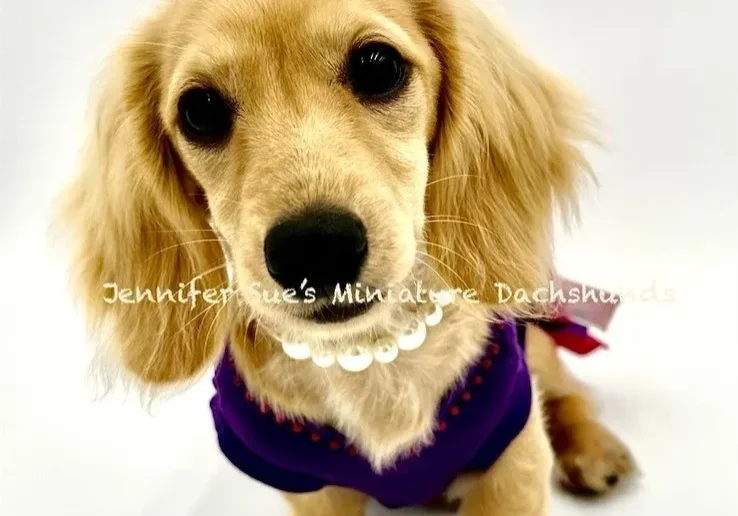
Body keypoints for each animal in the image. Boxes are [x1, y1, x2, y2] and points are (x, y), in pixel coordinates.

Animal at [57, 1, 632, 516]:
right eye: (199, 111)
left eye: (378, 66)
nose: (314, 249)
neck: (372, 356)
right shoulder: (311, 489)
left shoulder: (513, 457)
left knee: (567, 391)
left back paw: (594, 450)